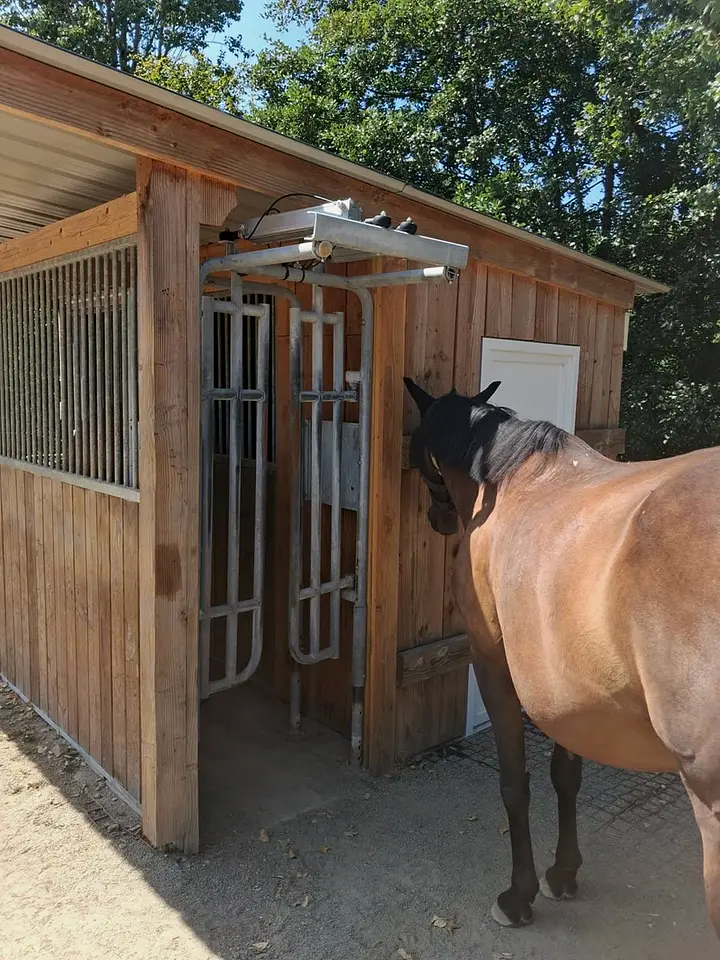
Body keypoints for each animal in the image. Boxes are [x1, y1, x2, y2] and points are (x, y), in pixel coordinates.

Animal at [404, 376, 720, 937]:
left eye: (419, 454)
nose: (438, 519)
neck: (509, 482)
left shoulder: (493, 662)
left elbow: (515, 782)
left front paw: (519, 895)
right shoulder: (573, 691)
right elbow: (566, 776)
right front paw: (564, 872)